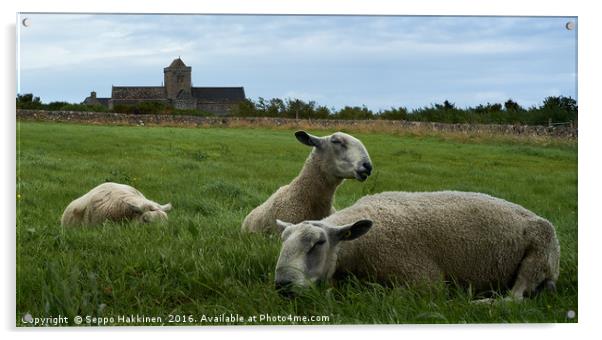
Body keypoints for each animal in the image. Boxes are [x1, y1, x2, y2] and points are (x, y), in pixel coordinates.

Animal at [274, 191, 560, 300]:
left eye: (319, 242)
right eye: (282, 240)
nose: (282, 285)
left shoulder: (424, 282)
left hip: (538, 257)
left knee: (515, 298)